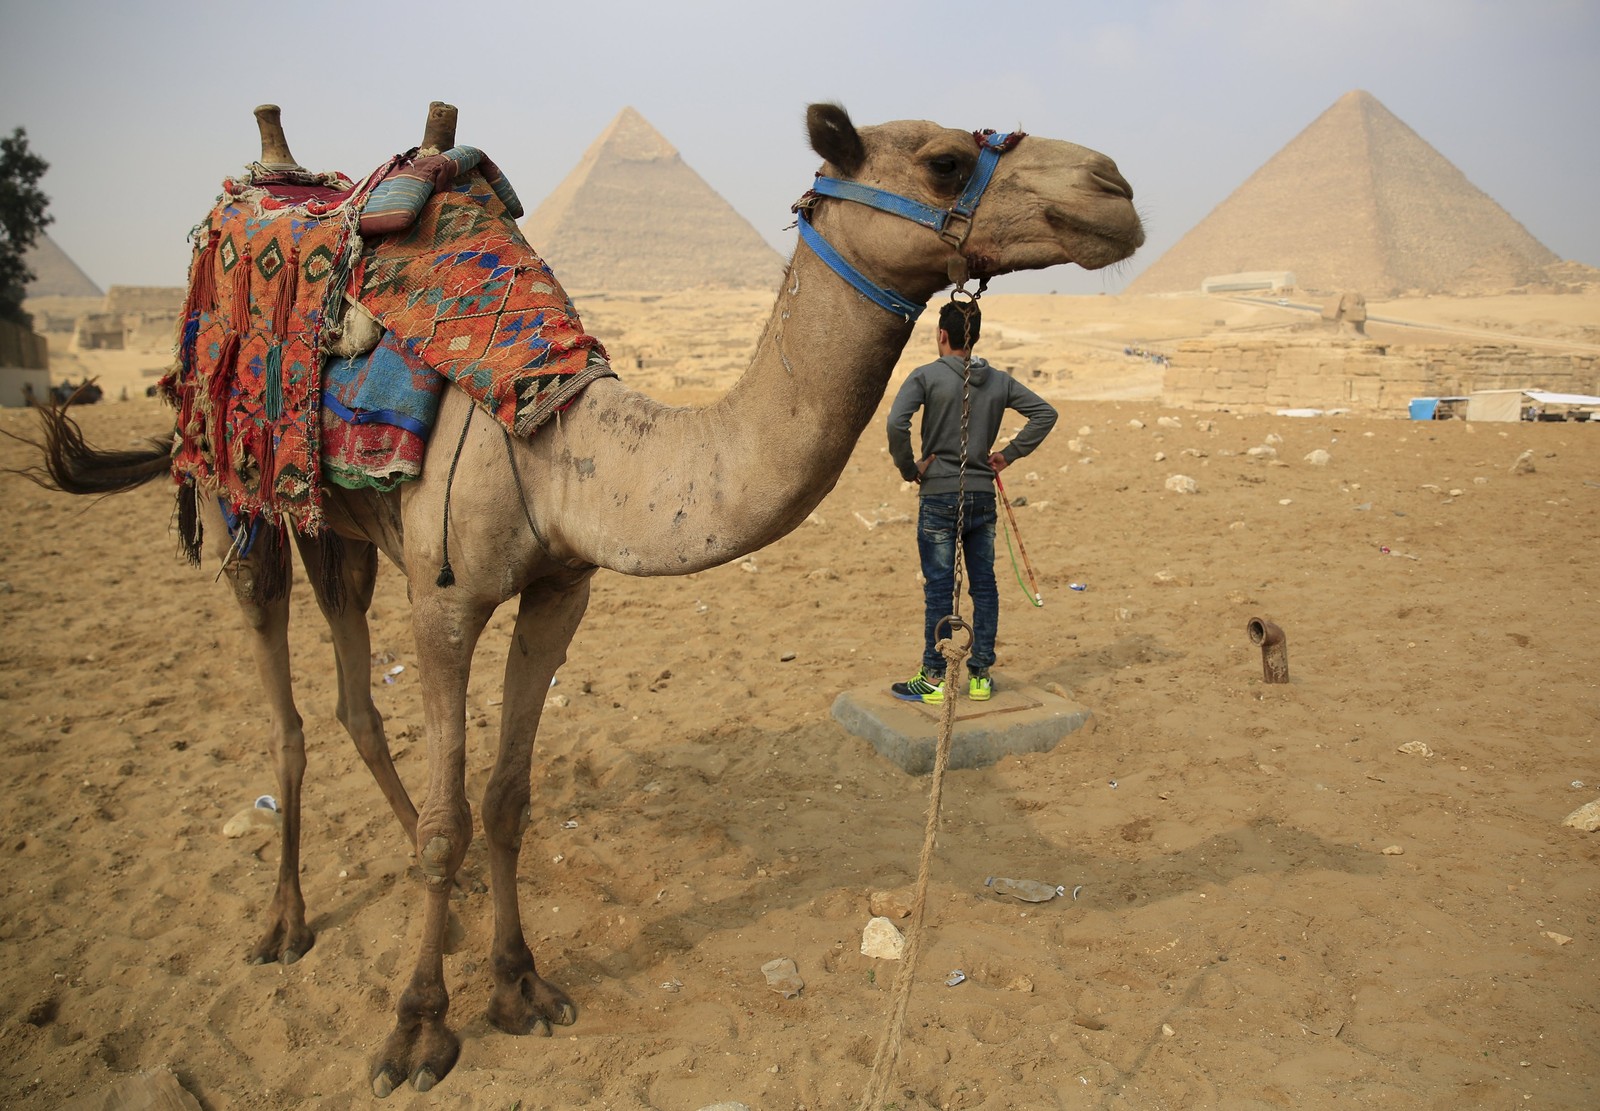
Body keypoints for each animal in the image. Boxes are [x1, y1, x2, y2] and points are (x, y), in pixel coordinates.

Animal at [25, 104, 1139, 1094]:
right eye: (945, 160)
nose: (1116, 188)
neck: (557, 446)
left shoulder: (559, 593)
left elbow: (505, 801)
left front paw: (519, 986)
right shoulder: (444, 603)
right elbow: (450, 818)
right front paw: (417, 1028)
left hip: (335, 528)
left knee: (352, 695)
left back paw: (442, 903)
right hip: (229, 486)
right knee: (285, 710)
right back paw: (284, 922)